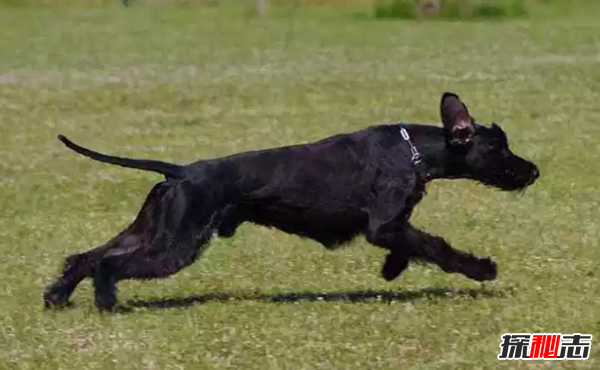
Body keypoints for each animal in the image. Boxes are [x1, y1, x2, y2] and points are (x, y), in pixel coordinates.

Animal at [42, 93, 540, 312]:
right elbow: (435, 246)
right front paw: (482, 269)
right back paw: (107, 302)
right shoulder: (385, 224)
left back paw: (57, 297)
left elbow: (411, 246)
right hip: (175, 245)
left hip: (153, 230)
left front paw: (391, 270)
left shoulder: (393, 226)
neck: (415, 151)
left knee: (86, 256)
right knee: (109, 264)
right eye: (500, 147)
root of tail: (180, 172)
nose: (533, 171)